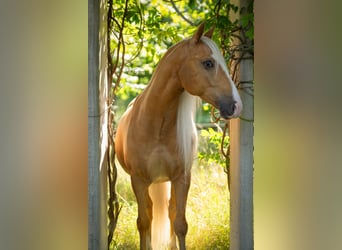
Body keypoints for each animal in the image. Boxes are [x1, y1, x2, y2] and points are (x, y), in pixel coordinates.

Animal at [113, 22, 242, 249]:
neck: (156, 126)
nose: (236, 106)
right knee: (151, 213)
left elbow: (180, 223)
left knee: (171, 210)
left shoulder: (182, 178)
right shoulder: (138, 180)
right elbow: (143, 222)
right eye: (208, 63)